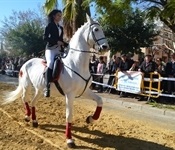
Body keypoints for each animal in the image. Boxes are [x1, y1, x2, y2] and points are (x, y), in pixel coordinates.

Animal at [2, 15, 108, 148]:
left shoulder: (85, 91)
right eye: (96, 30)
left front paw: (90, 119)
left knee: (33, 102)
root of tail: (27, 62)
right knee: (24, 99)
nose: (105, 47)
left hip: (39, 89)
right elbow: (69, 116)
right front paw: (69, 140)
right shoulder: (70, 94)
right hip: (26, 85)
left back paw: (34, 121)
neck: (76, 64)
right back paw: (27, 116)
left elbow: (100, 101)